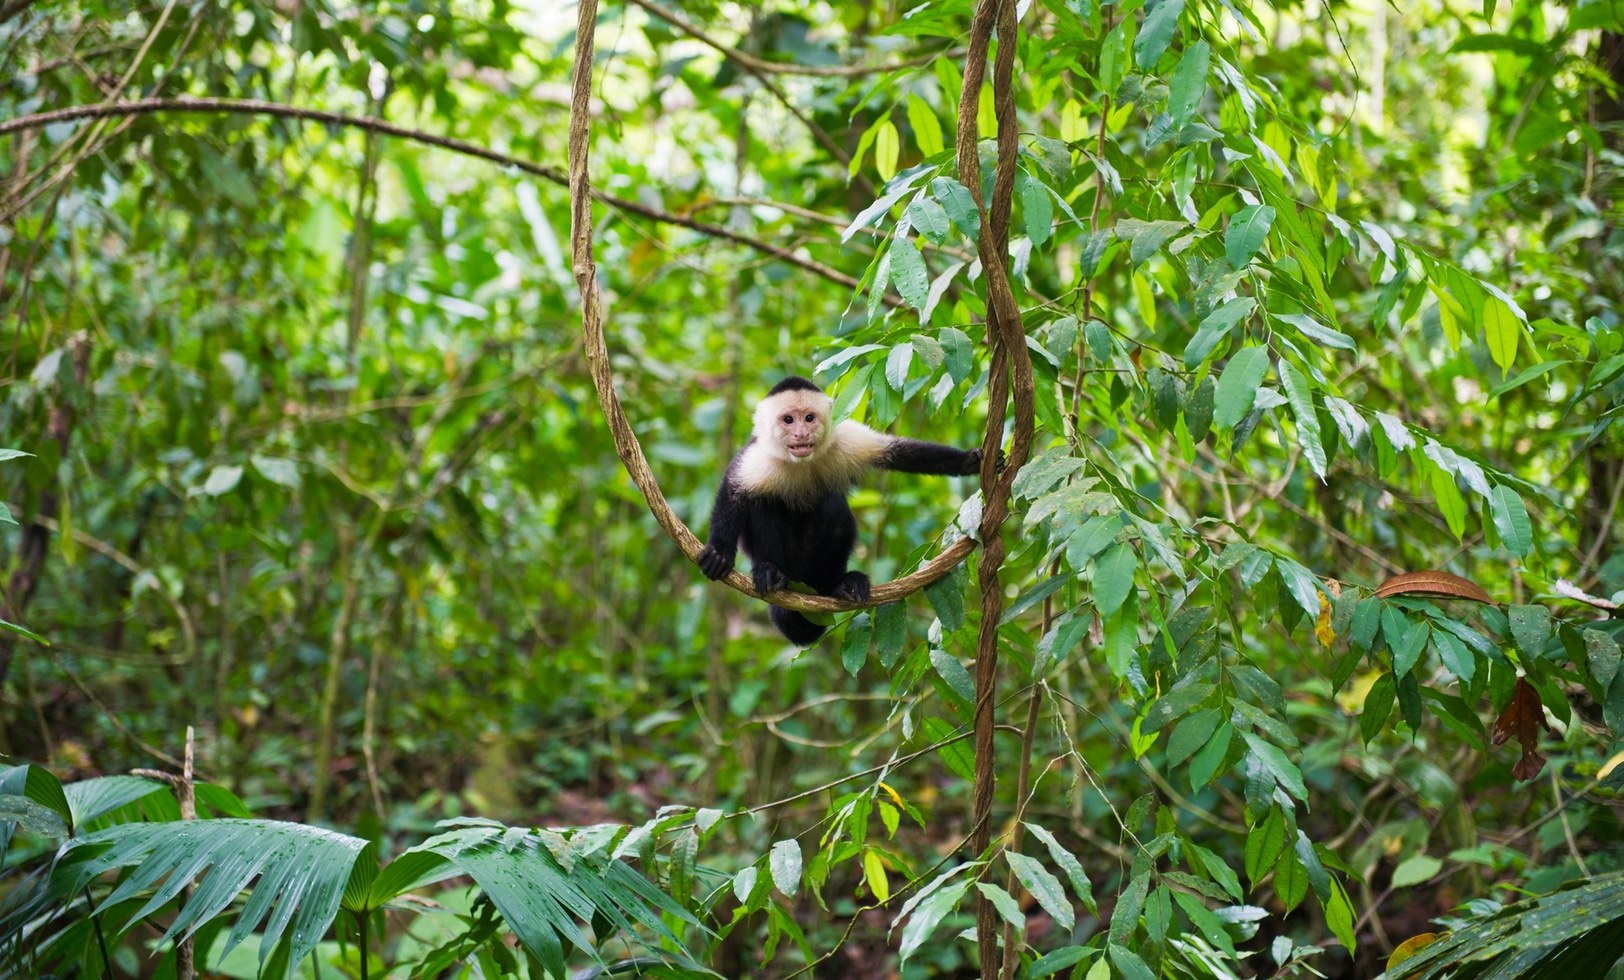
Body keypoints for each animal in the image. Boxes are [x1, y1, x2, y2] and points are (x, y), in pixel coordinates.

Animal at [695, 375, 980, 643]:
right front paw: (719, 553)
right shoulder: (759, 457)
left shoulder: (845, 437)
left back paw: (838, 585)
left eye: (809, 418)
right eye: (788, 420)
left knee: (834, 507)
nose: (801, 434)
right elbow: (733, 490)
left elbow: (901, 453)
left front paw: (967, 462)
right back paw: (772, 572)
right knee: (763, 504)